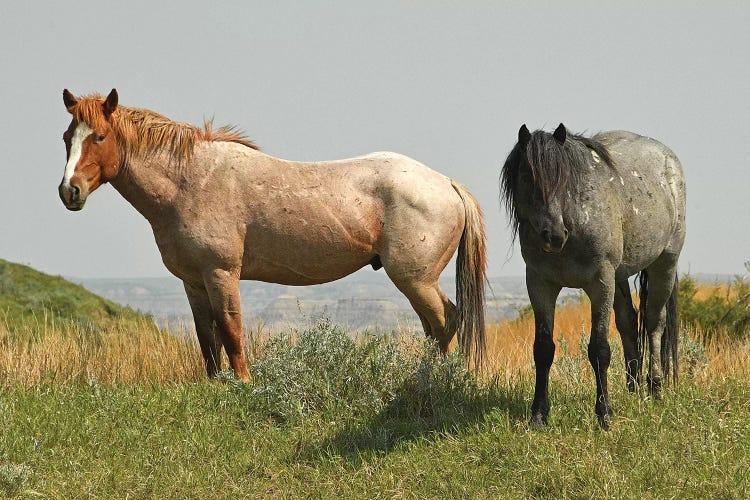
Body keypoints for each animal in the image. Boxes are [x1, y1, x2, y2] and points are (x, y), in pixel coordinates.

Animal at [61, 90, 490, 378]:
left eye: (99, 136)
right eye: (67, 137)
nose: (69, 191)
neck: (191, 182)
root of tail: (447, 184)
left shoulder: (221, 274)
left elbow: (232, 331)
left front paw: (244, 385)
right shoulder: (193, 282)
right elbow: (207, 339)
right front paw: (215, 386)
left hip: (415, 278)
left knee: (445, 322)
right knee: (436, 326)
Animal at [502, 123, 692, 428]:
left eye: (565, 179)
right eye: (528, 177)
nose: (554, 235)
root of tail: (667, 157)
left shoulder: (600, 282)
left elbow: (599, 349)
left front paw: (604, 415)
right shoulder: (540, 284)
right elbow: (543, 349)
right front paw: (539, 415)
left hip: (664, 263)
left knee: (654, 323)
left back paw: (655, 389)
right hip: (620, 277)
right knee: (629, 322)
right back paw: (633, 389)